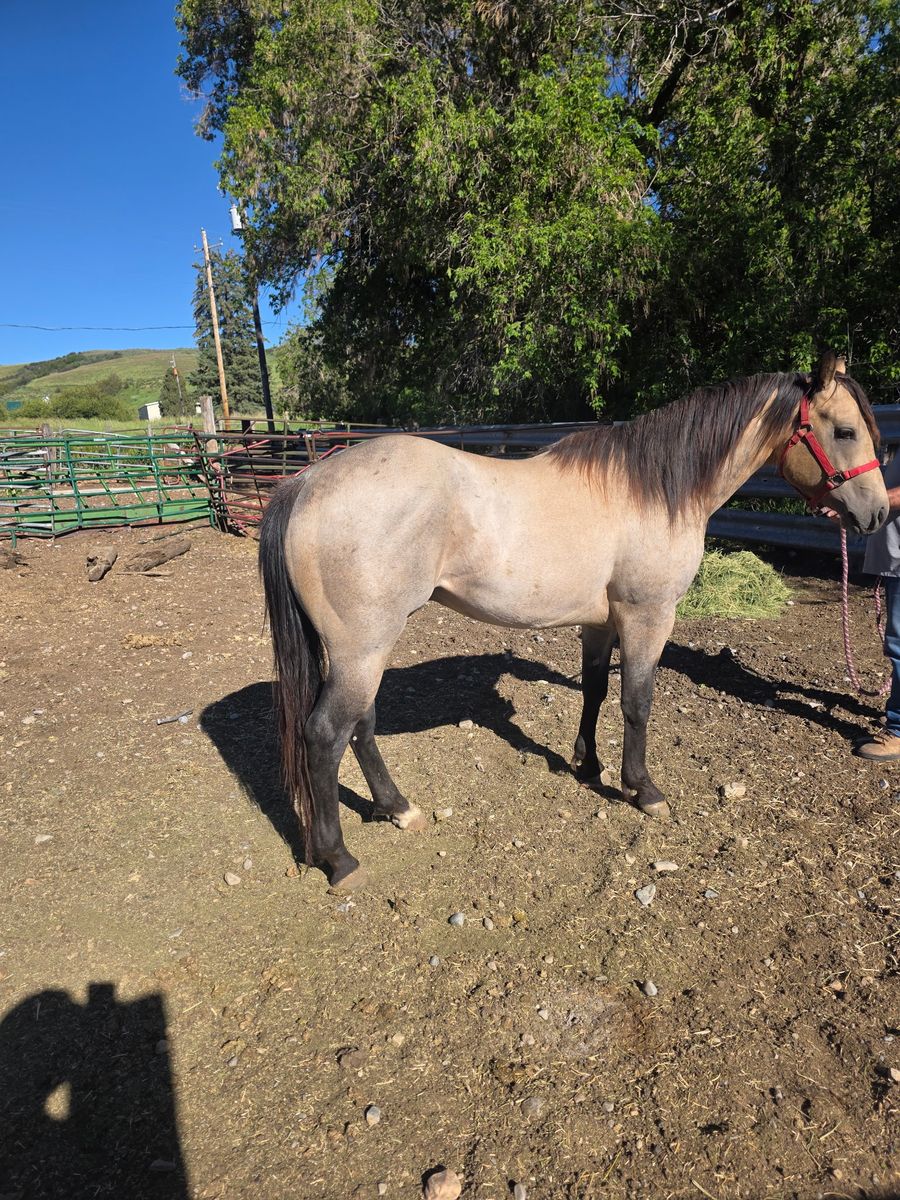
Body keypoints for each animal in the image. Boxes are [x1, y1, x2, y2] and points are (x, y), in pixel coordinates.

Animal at [259, 351, 887, 891]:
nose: (879, 514)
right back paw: (339, 859)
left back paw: (396, 808)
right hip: (364, 647)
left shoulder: (600, 622)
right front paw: (642, 789)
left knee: (359, 726)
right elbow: (637, 702)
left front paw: (588, 764)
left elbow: (595, 690)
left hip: (359, 649)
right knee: (325, 734)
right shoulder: (648, 616)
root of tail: (306, 483)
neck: (654, 490)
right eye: (845, 431)